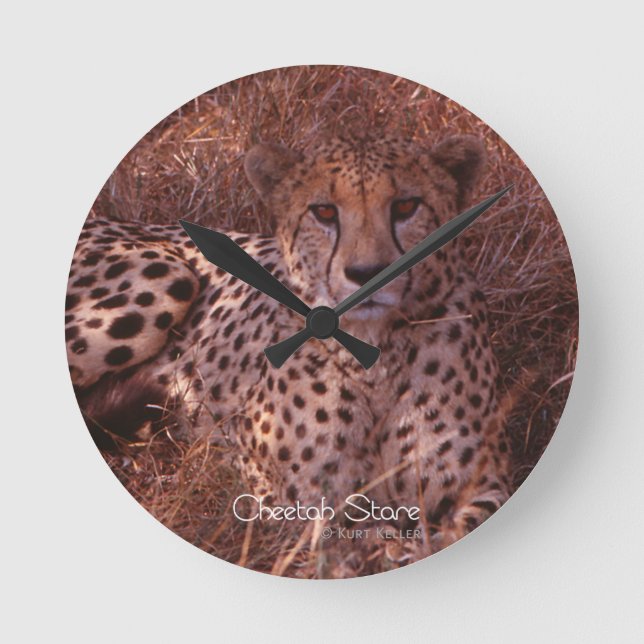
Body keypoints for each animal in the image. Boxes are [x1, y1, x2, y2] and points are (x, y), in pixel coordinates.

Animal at [65, 133, 512, 555]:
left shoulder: (485, 483)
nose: (366, 272)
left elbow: (456, 526)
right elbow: (353, 540)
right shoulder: (281, 490)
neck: (375, 356)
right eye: (324, 212)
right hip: (166, 277)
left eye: (406, 206)